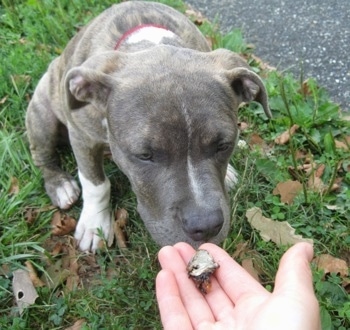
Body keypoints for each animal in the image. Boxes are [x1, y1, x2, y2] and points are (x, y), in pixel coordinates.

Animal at [26, 0, 272, 253]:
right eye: (144, 155)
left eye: (224, 145)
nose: (205, 226)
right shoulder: (83, 136)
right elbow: (95, 183)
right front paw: (95, 225)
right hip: (43, 113)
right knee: (42, 155)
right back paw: (61, 186)